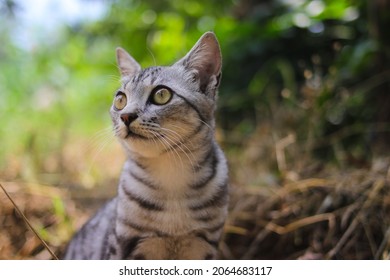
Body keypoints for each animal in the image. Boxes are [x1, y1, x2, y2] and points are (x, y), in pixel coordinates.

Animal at [63, 31, 229, 260]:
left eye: (161, 94)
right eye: (120, 100)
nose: (126, 116)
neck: (171, 176)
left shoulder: (204, 244)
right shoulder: (125, 246)